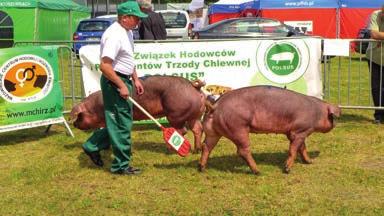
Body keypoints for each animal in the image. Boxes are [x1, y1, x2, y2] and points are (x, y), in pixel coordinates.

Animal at [70, 76, 206, 152]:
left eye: (79, 116)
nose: (74, 124)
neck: (94, 107)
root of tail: (194, 87)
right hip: (194, 115)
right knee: (198, 129)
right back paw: (197, 150)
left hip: (175, 114)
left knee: (182, 131)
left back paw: (170, 150)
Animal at [200, 85, 340, 175]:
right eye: (332, 117)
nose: (335, 124)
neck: (317, 113)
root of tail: (215, 106)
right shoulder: (299, 131)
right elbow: (293, 150)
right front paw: (287, 170)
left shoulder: (294, 133)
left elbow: (302, 148)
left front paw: (310, 162)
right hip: (238, 128)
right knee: (242, 151)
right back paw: (258, 172)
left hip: (213, 132)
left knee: (206, 146)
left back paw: (201, 168)